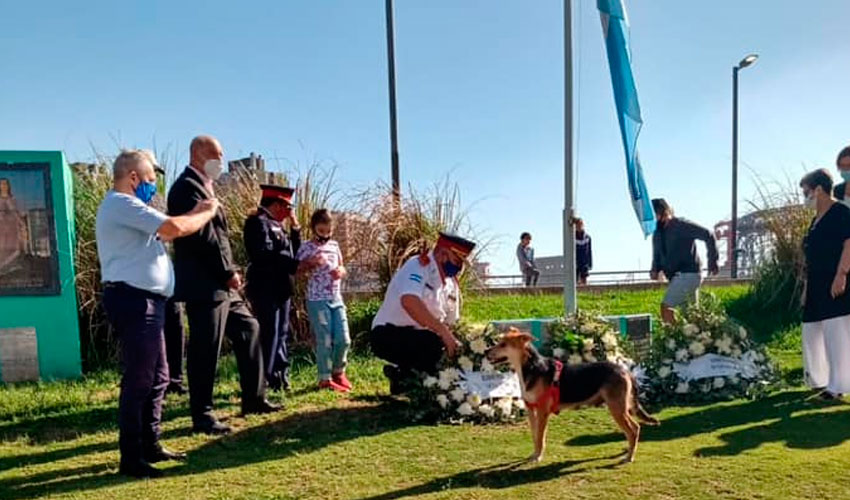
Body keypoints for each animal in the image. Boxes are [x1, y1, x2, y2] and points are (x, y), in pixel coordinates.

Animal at [484, 328, 656, 464]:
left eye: (503, 344)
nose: (485, 352)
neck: (531, 368)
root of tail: (625, 370)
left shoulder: (542, 412)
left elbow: (540, 437)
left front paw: (538, 457)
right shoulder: (531, 409)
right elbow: (534, 436)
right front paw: (534, 454)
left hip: (617, 408)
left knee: (633, 429)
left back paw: (629, 457)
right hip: (620, 408)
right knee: (634, 429)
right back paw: (628, 451)